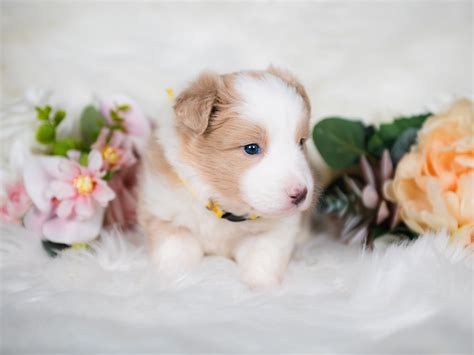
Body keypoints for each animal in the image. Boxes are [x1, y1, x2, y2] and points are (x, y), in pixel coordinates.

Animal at [137, 68, 314, 290]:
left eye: (301, 142)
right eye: (251, 148)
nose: (300, 194)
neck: (223, 207)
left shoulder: (273, 232)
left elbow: (262, 262)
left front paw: (261, 288)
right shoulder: (168, 219)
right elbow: (177, 256)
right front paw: (176, 280)